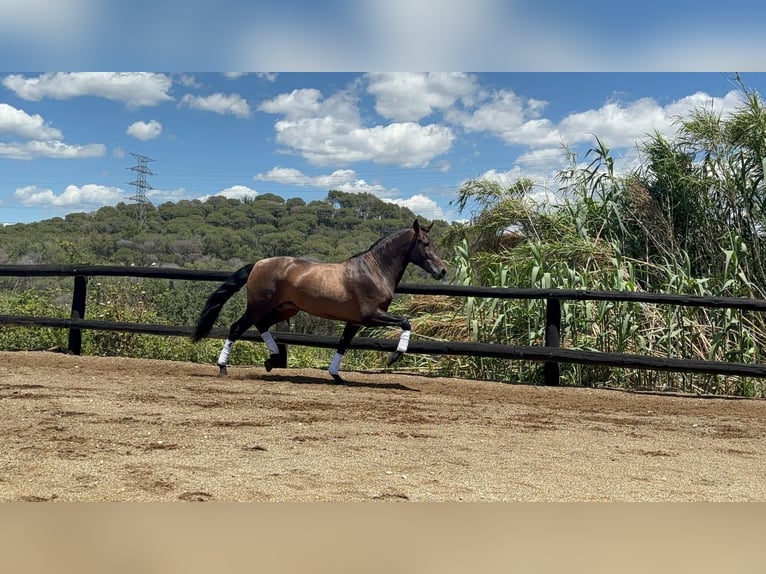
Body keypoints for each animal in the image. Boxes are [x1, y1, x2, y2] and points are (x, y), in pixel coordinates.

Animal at [192, 220, 450, 382]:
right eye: (425, 244)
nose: (443, 271)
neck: (374, 270)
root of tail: (258, 264)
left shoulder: (354, 321)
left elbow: (343, 344)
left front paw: (336, 375)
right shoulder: (371, 316)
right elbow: (406, 322)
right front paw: (393, 357)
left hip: (286, 310)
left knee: (262, 325)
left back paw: (273, 359)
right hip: (259, 306)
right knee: (237, 328)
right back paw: (223, 367)